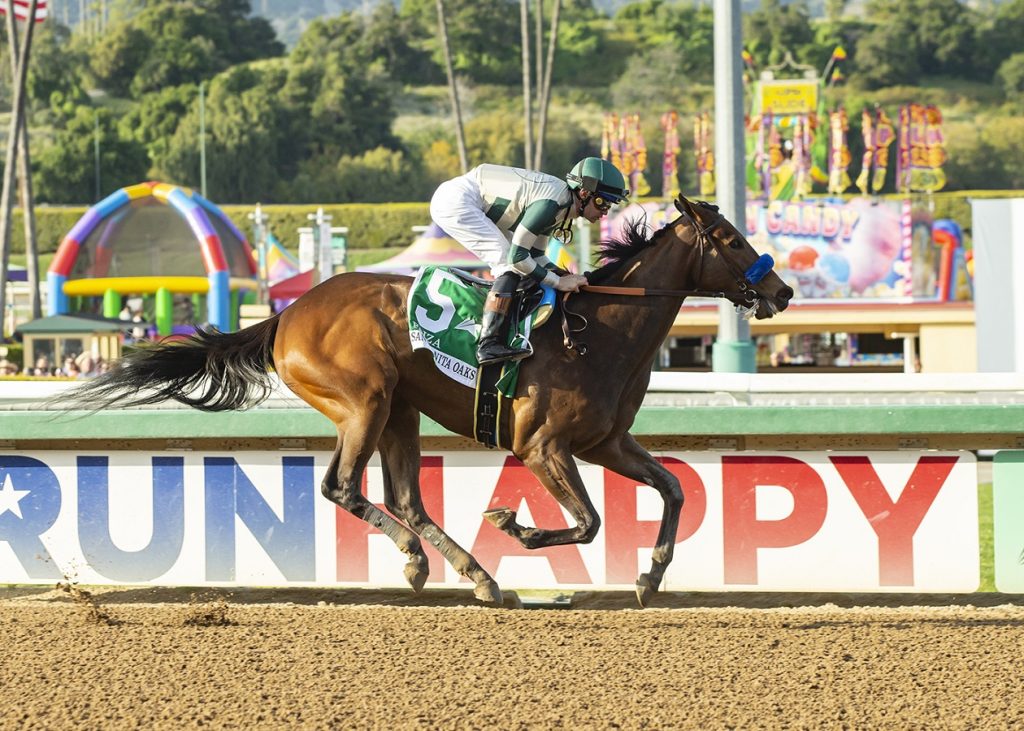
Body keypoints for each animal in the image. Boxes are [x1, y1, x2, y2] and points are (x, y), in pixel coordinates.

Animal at [64, 195, 794, 602]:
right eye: (732, 239)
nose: (782, 291)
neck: (601, 332)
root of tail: (287, 313)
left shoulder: (606, 442)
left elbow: (673, 488)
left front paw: (650, 577)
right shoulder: (542, 447)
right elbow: (587, 521)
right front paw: (514, 523)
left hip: (401, 410)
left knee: (405, 497)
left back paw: (478, 576)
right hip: (365, 400)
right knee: (342, 486)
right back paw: (425, 560)